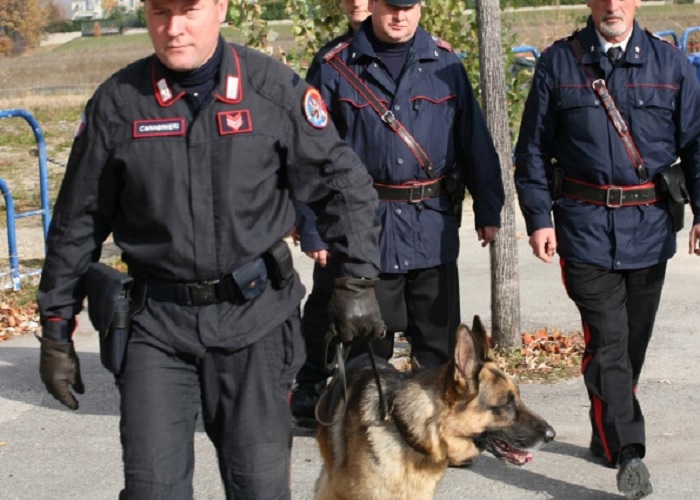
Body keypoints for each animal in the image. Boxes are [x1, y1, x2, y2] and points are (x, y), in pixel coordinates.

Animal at [35, 0, 386, 500]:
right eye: (162, 14)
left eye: (190, 14)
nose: (174, 35)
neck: (194, 85)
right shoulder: (98, 127)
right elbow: (79, 221)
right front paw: (57, 352)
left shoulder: (296, 106)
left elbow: (339, 179)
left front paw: (354, 297)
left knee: (253, 458)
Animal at [516, 0, 700, 496]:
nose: (613, 12)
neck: (616, 58)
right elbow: (612, 355)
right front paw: (629, 454)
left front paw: (628, 453)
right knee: (616, 350)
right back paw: (612, 446)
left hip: (646, 282)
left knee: (635, 338)